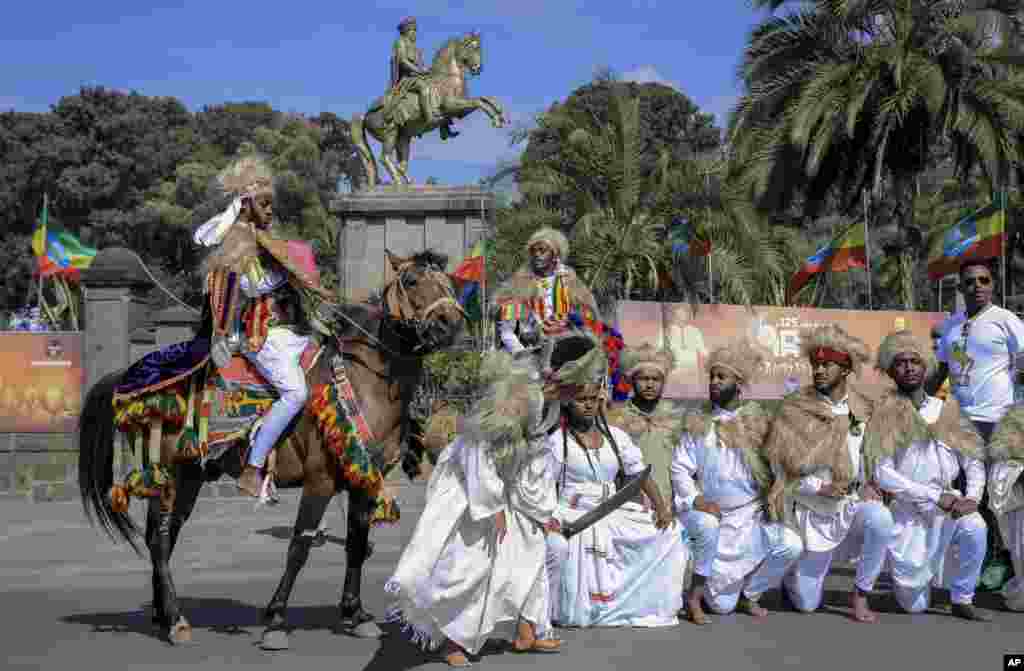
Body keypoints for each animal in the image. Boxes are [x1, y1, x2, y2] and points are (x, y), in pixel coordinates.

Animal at [78, 248, 464, 647]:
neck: (365, 382)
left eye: (450, 281)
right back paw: (175, 620)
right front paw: (276, 618)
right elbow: (299, 547)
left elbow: (356, 544)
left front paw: (355, 614)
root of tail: (129, 378)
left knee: (164, 536)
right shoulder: (320, 481)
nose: (449, 323)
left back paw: (161, 613)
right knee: (160, 539)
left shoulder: (364, 482)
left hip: (189, 476)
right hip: (168, 473)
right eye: (412, 281)